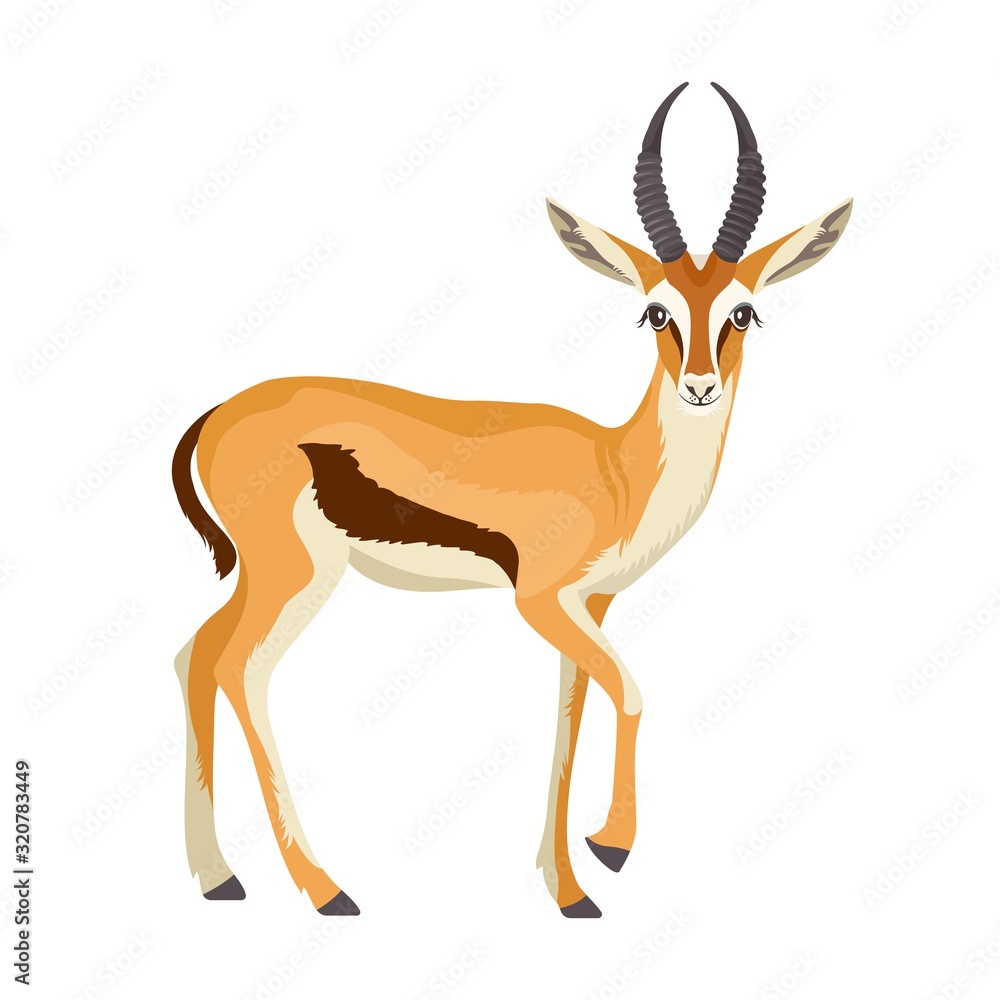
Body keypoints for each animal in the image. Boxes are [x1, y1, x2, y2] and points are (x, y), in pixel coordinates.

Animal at [172, 82, 851, 918]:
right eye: (655, 311)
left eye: (743, 311)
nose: (700, 388)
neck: (617, 469)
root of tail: (213, 416)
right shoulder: (541, 600)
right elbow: (630, 694)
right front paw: (612, 849)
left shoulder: (589, 607)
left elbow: (572, 717)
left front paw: (570, 890)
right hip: (296, 575)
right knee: (239, 668)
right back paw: (326, 889)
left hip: (264, 574)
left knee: (196, 653)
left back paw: (219, 879)